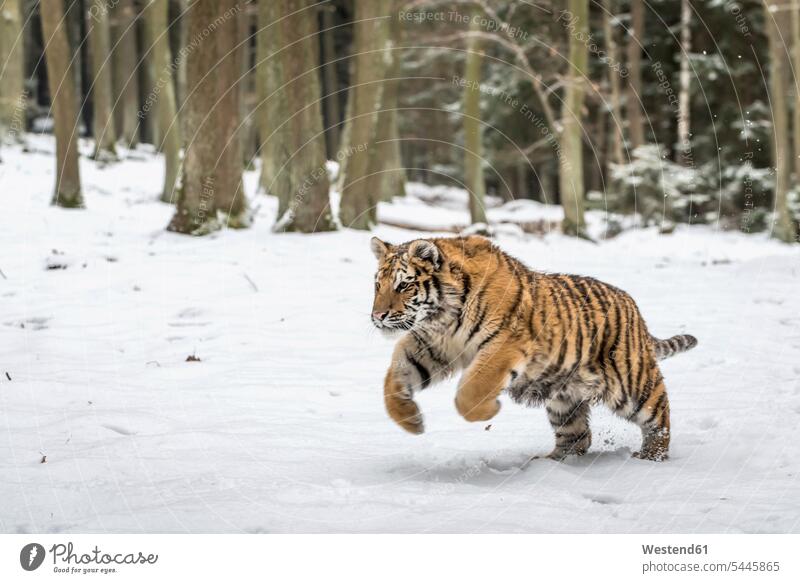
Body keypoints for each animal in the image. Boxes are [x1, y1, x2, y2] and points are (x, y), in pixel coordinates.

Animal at [372, 235, 696, 464]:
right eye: (378, 285)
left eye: (404, 286)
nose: (378, 316)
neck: (443, 317)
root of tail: (633, 307)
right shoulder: (429, 344)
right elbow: (394, 377)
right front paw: (411, 421)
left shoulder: (503, 342)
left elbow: (471, 391)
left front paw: (490, 409)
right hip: (564, 399)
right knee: (578, 437)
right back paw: (550, 463)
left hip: (633, 383)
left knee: (659, 417)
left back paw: (650, 457)